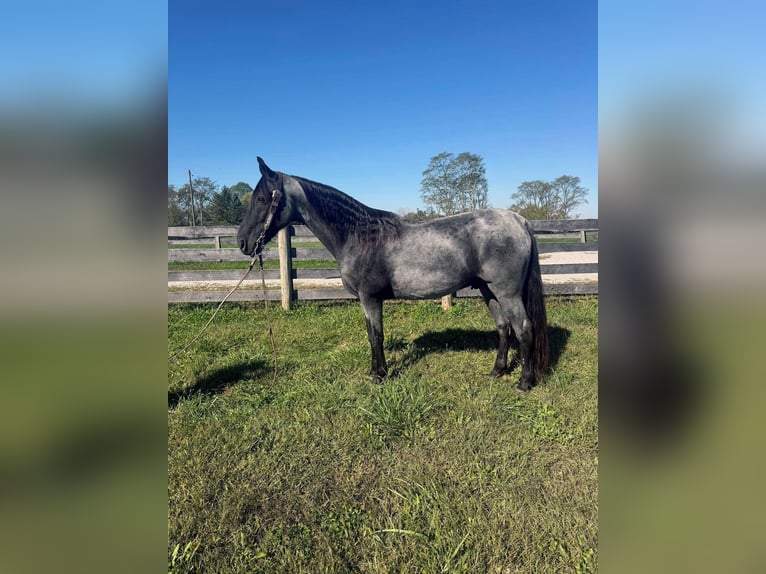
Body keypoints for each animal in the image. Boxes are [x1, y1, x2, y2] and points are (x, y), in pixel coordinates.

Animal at [238, 157, 548, 391]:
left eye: (262, 199)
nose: (243, 243)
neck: (360, 236)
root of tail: (519, 220)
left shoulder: (370, 298)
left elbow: (375, 336)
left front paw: (379, 375)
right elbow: (372, 335)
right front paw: (377, 371)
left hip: (507, 292)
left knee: (524, 329)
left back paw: (524, 383)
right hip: (488, 290)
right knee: (504, 328)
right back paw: (497, 371)